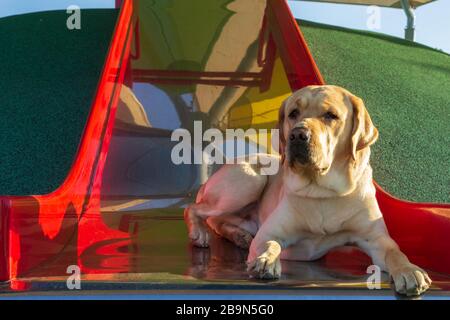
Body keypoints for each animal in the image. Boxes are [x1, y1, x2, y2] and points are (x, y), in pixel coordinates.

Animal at [184, 84, 432, 296]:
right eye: (293, 113)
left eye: (330, 115)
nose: (297, 135)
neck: (323, 191)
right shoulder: (269, 232)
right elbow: (271, 243)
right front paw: (266, 260)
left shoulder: (377, 239)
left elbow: (396, 252)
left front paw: (410, 271)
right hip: (250, 180)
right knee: (194, 209)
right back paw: (200, 233)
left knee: (218, 221)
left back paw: (239, 236)